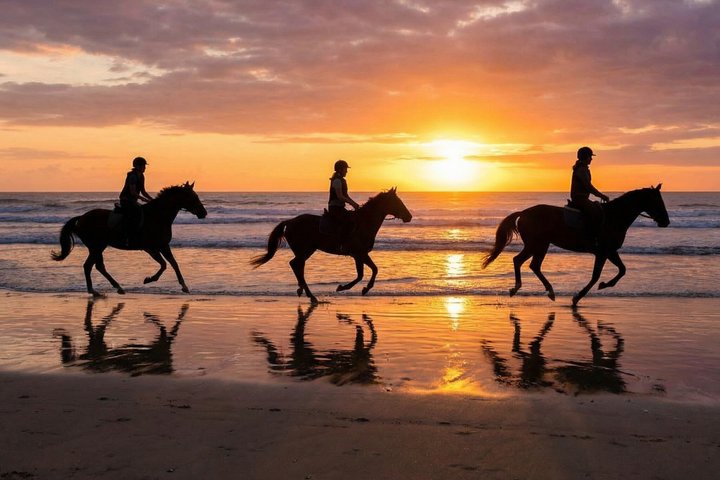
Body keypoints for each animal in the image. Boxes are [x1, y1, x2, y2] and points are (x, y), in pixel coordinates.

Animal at [51, 182, 207, 296]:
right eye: (193, 197)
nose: (203, 213)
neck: (158, 216)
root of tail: (81, 218)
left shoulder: (163, 245)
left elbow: (173, 263)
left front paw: (184, 286)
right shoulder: (150, 248)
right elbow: (164, 264)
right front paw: (149, 279)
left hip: (99, 246)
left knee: (98, 266)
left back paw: (118, 287)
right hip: (96, 246)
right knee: (88, 266)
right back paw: (94, 291)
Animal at [250, 188, 412, 304]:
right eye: (397, 202)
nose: (409, 217)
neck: (364, 223)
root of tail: (289, 222)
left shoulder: (362, 254)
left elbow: (373, 270)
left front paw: (365, 288)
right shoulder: (358, 254)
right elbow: (362, 274)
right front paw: (344, 287)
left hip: (306, 251)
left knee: (296, 266)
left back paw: (302, 290)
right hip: (305, 250)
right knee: (296, 265)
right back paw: (310, 295)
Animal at [482, 185, 669, 306]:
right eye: (658, 201)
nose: (666, 221)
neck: (614, 217)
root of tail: (523, 213)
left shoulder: (610, 251)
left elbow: (622, 270)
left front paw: (604, 285)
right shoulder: (603, 252)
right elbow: (596, 276)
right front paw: (579, 296)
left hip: (539, 245)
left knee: (527, 263)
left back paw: (536, 290)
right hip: (538, 244)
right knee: (525, 262)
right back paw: (531, 289)